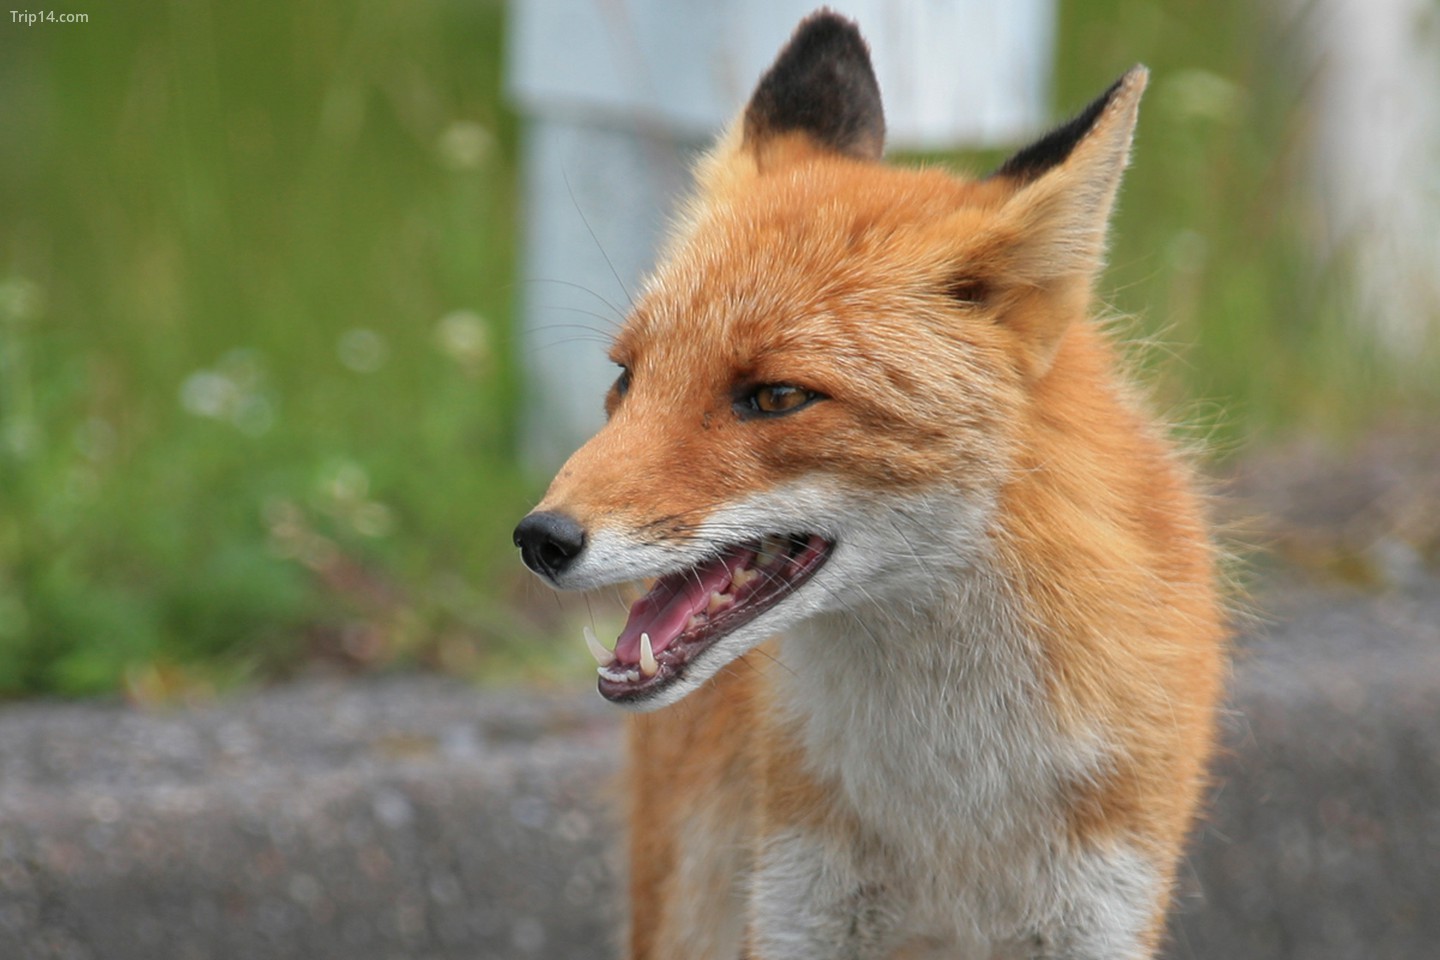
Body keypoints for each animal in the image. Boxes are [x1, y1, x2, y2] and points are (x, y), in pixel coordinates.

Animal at [512, 9, 1221, 960]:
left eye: (777, 397)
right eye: (627, 379)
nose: (540, 539)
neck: (951, 797)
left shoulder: (1098, 909)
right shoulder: (799, 907)